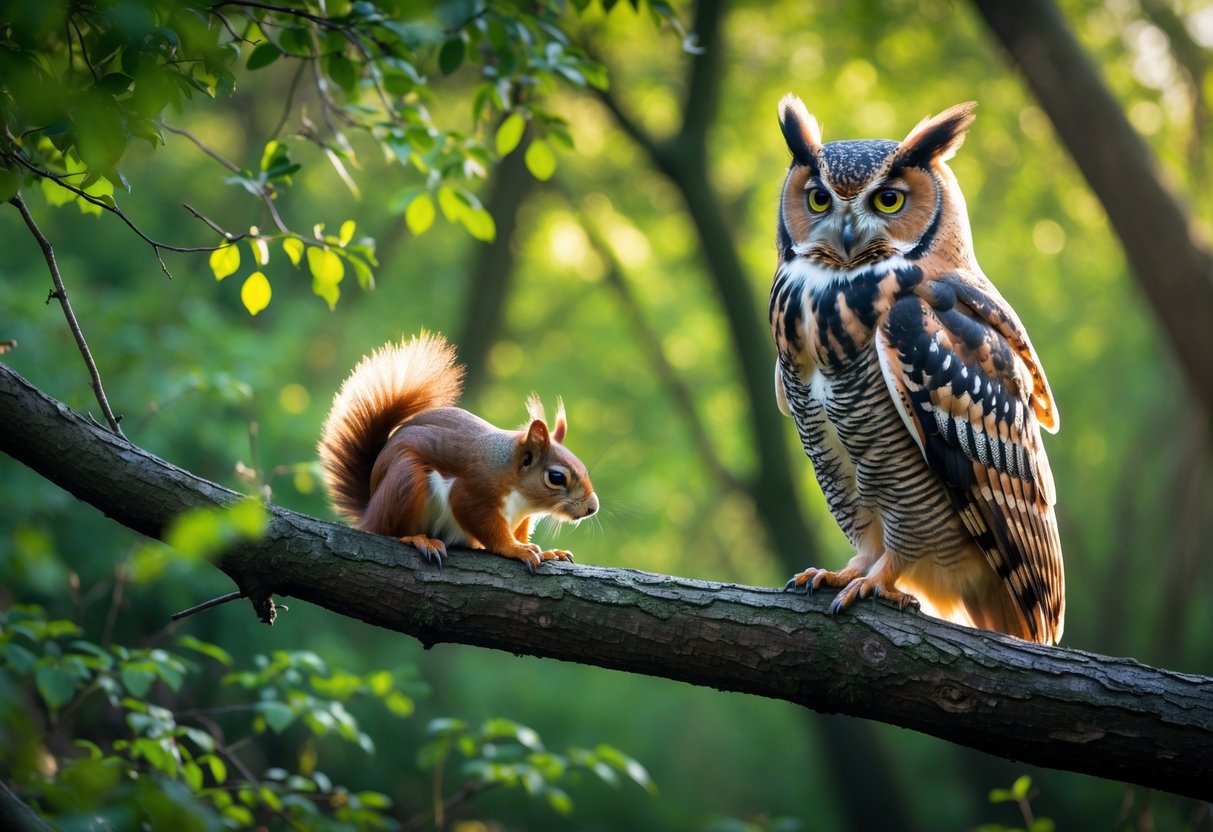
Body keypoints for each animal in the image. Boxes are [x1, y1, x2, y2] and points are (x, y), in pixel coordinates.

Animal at [317, 332, 598, 573]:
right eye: (557, 477)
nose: (592, 508)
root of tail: (370, 509)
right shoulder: (473, 491)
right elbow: (484, 525)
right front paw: (516, 549)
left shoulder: (521, 517)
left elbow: (519, 531)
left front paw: (547, 551)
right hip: (404, 480)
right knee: (390, 531)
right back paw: (419, 539)